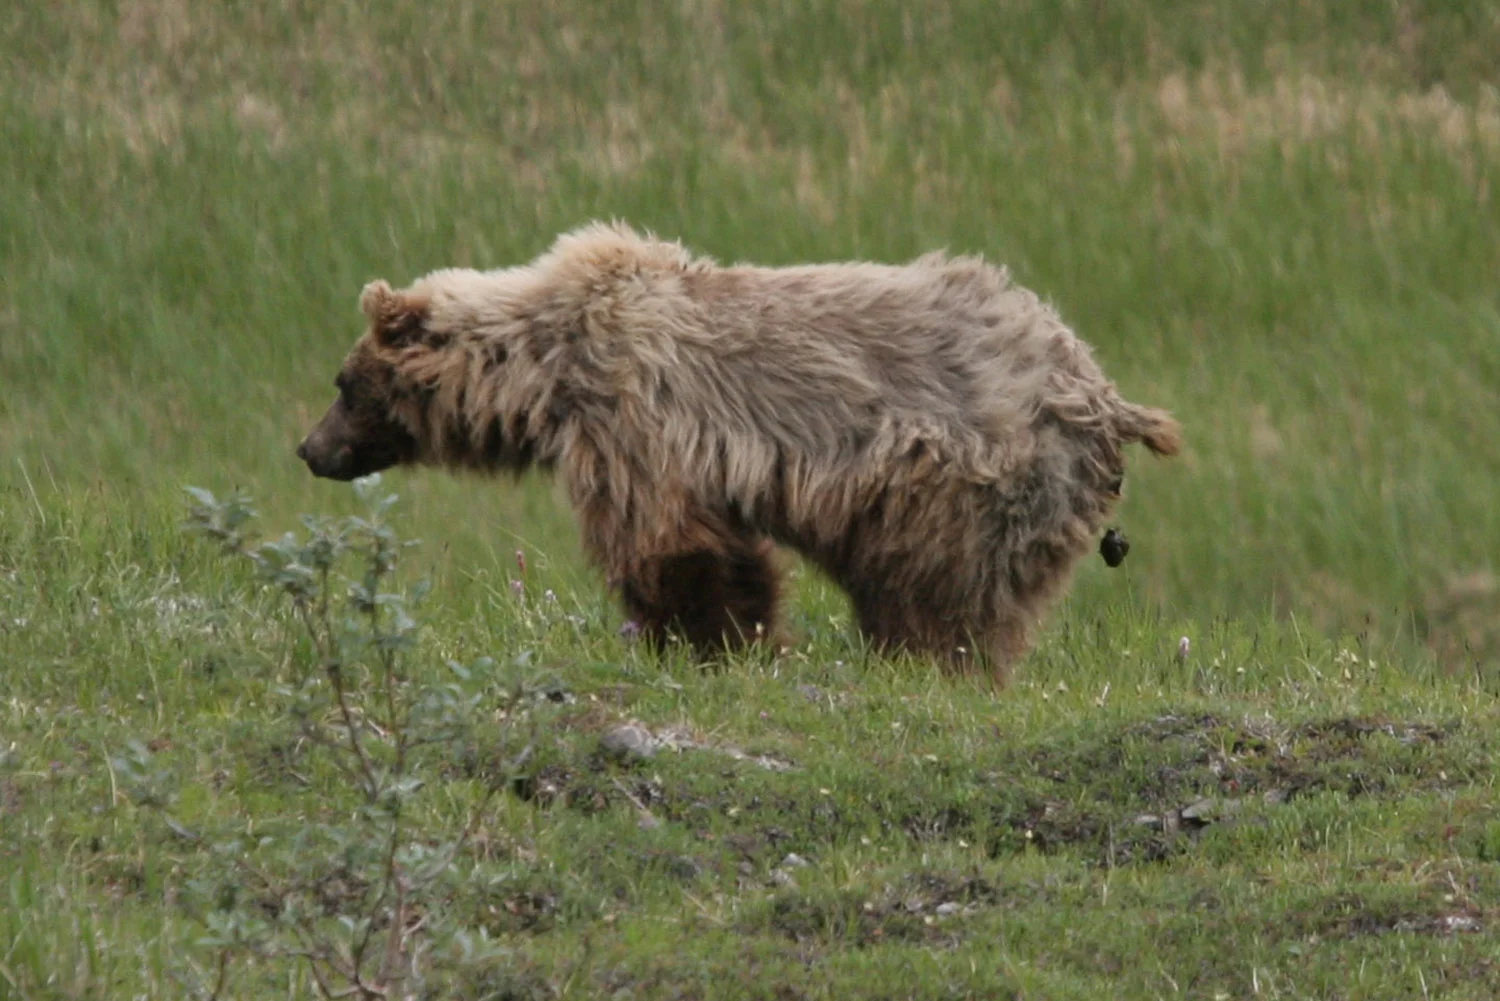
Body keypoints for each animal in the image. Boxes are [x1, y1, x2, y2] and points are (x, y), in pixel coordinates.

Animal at [297, 222, 1180, 684]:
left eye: (344, 382)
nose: (310, 448)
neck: (546, 369)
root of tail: (1099, 392)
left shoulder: (634, 416)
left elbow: (670, 545)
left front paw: (706, 639)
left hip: (968, 477)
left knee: (938, 588)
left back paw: (924, 660)